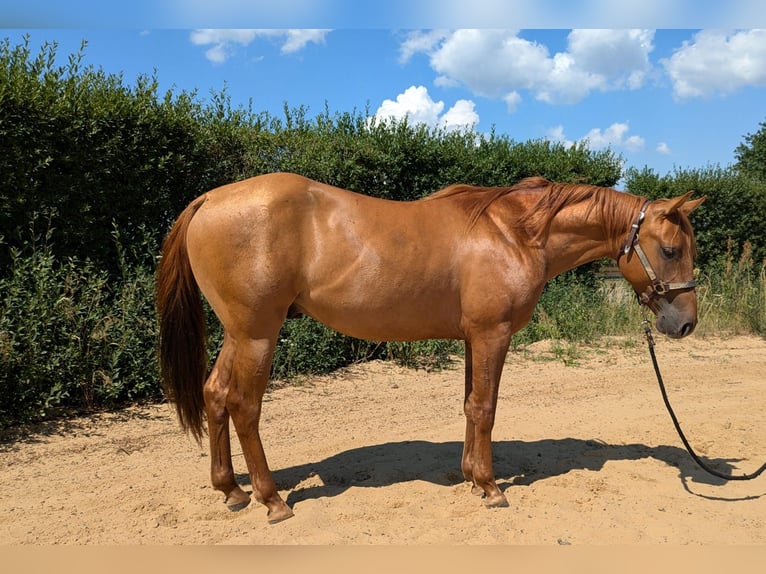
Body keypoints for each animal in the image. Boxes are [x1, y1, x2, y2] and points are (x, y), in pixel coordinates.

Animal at [156, 173, 704, 524]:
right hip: (257, 334)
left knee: (214, 394)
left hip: (238, 334)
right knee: (244, 406)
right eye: (670, 250)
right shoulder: (492, 334)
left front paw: (471, 478)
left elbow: (469, 406)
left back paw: (231, 490)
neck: (516, 232)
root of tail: (209, 200)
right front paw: (491, 488)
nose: (685, 323)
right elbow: (486, 408)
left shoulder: (473, 338)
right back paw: (272, 501)